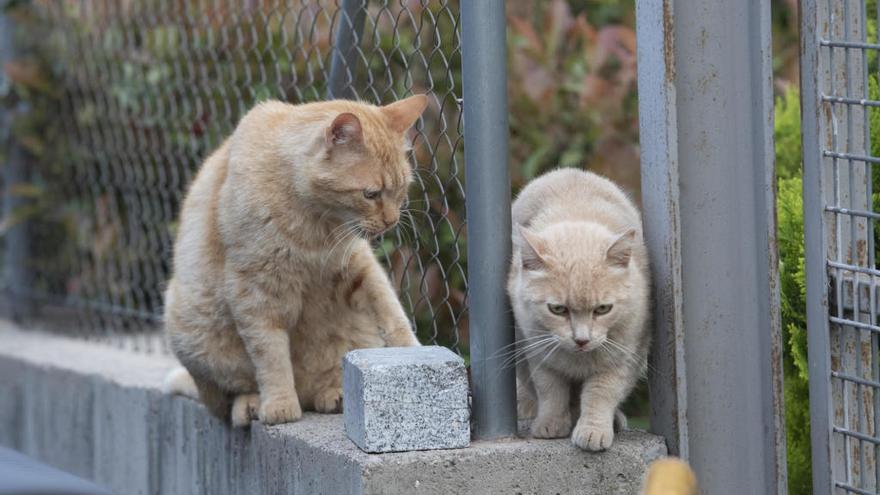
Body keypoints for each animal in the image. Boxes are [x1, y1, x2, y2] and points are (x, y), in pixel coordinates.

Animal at [165, 96, 430, 426]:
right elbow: (271, 355)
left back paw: (335, 394)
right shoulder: (256, 292)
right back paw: (252, 404)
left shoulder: (358, 269)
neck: (317, 224)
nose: (391, 222)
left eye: (401, 190)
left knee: (319, 387)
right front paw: (280, 404)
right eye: (371, 194)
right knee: (229, 398)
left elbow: (393, 314)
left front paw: (414, 352)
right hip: (192, 334)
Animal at [506, 170, 648, 454]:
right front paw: (551, 424)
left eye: (603, 309)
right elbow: (551, 389)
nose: (581, 340)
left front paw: (593, 431)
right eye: (558, 309)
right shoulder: (538, 352)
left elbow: (600, 394)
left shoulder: (622, 358)